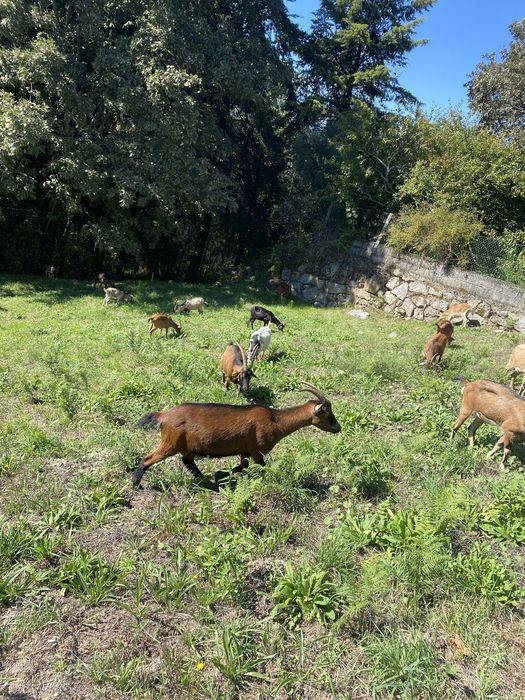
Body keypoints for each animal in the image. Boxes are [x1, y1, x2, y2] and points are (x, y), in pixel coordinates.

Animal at [131, 382, 341, 487]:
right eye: (327, 413)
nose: (338, 427)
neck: (275, 419)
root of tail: (163, 415)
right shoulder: (257, 450)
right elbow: (261, 467)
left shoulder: (245, 450)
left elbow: (242, 466)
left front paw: (218, 474)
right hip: (171, 442)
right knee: (149, 458)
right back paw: (136, 484)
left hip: (186, 446)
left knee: (188, 462)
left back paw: (206, 480)